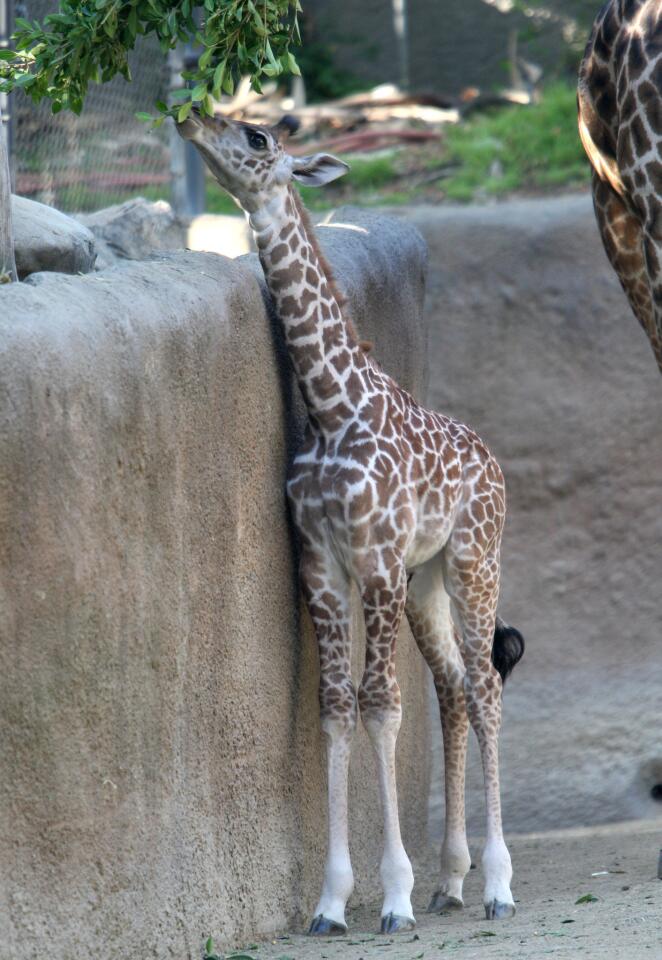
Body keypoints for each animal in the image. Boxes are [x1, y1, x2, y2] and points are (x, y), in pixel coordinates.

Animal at [179, 109, 528, 932]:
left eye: (256, 137)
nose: (193, 116)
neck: (335, 408)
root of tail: (494, 463)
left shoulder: (374, 556)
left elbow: (381, 705)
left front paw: (392, 894)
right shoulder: (322, 561)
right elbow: (337, 707)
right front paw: (332, 900)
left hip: (473, 561)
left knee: (486, 689)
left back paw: (497, 884)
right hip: (424, 581)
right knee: (455, 687)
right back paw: (452, 878)